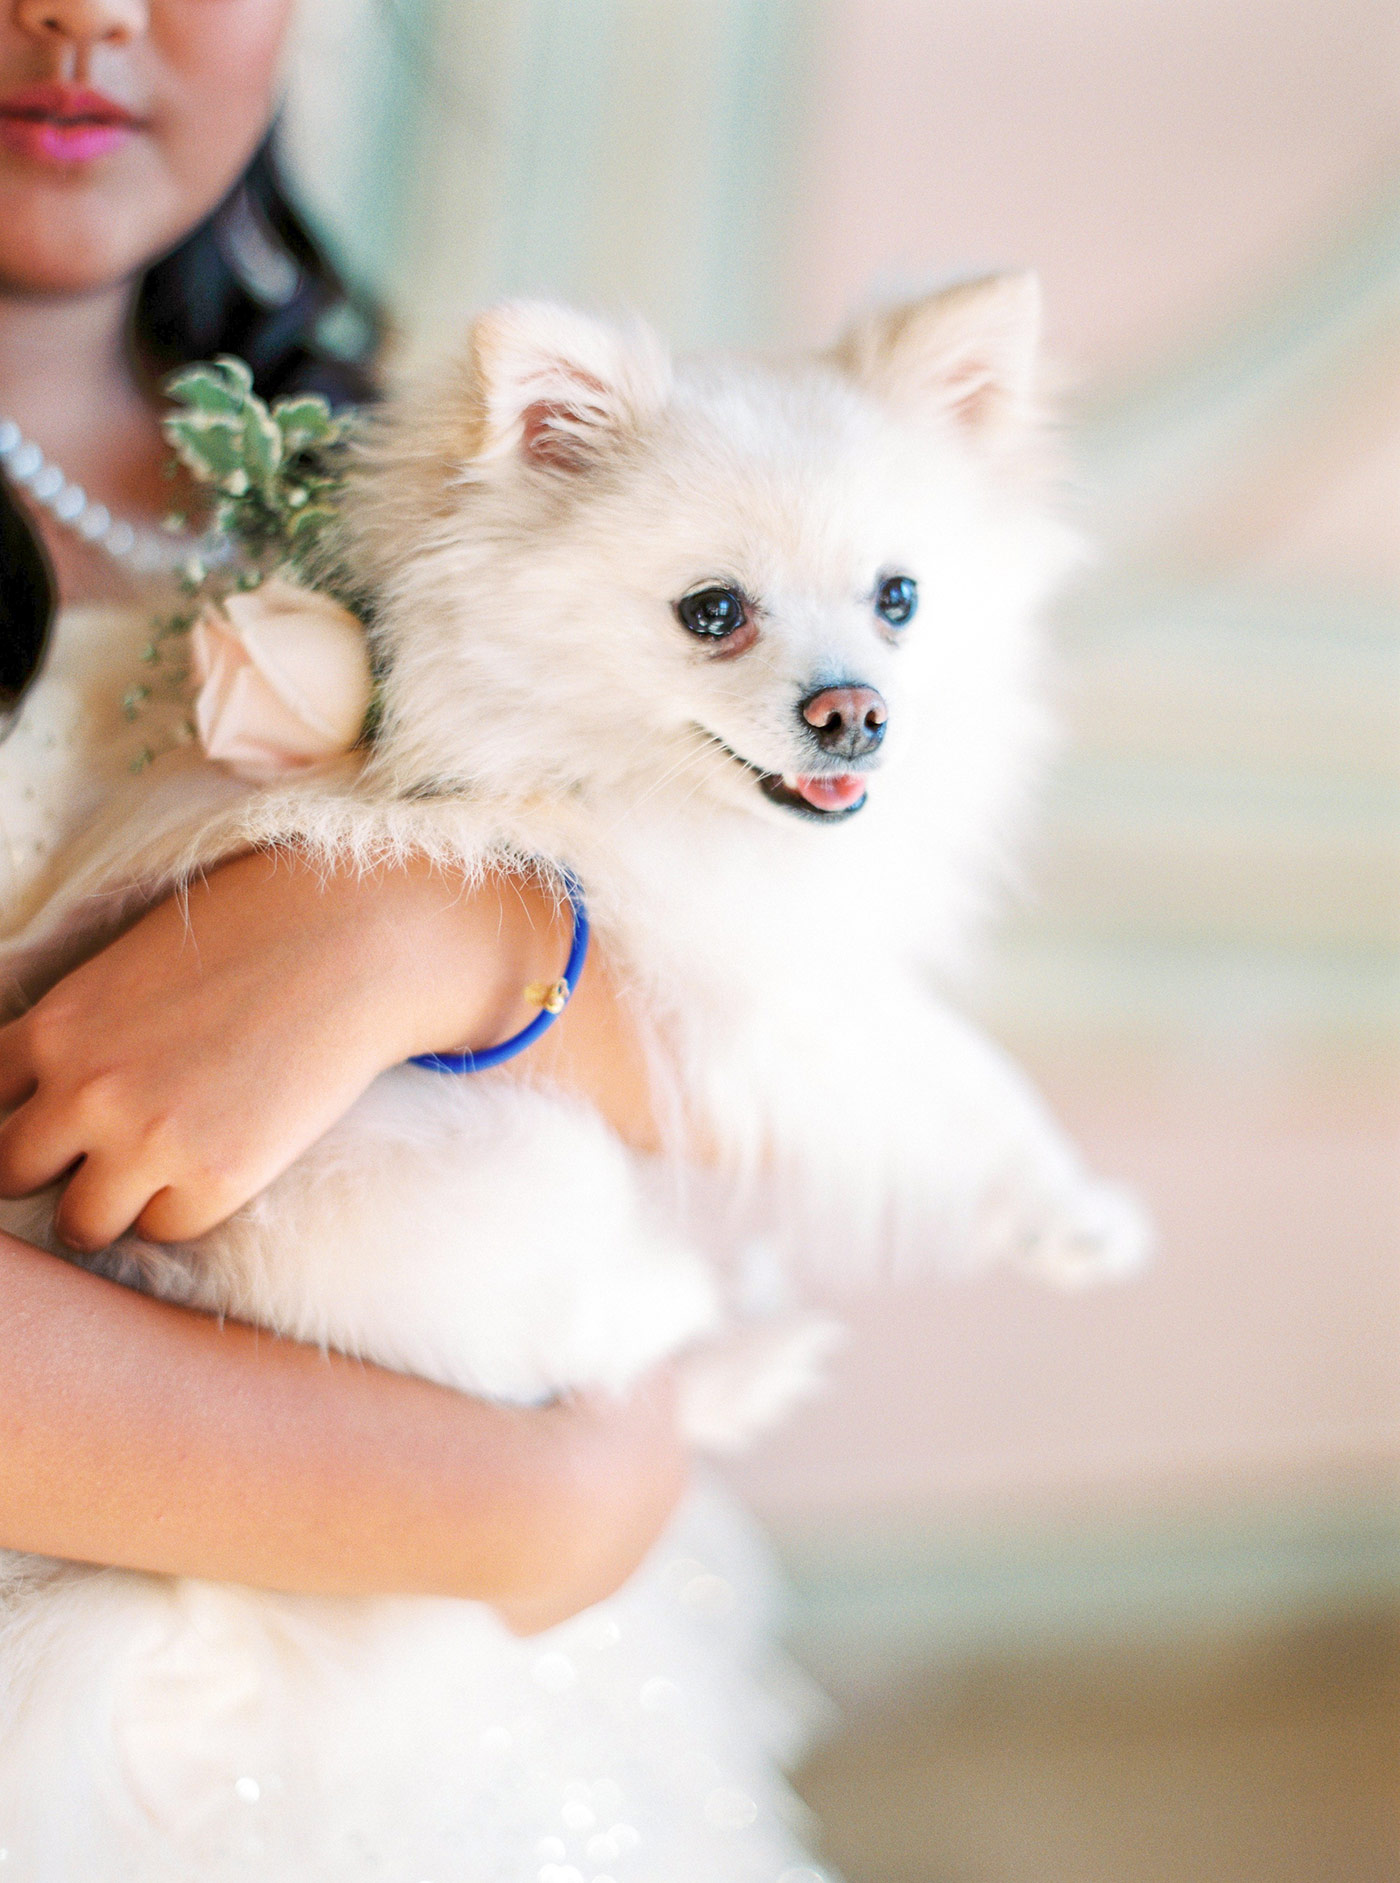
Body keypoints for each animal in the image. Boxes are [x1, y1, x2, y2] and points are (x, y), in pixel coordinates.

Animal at [0, 273, 1145, 1875]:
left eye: (899, 600)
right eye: (711, 612)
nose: (855, 710)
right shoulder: (746, 988)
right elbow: (945, 1068)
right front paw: (1068, 1208)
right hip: (497, 1178)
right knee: (615, 1341)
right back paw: (722, 1329)